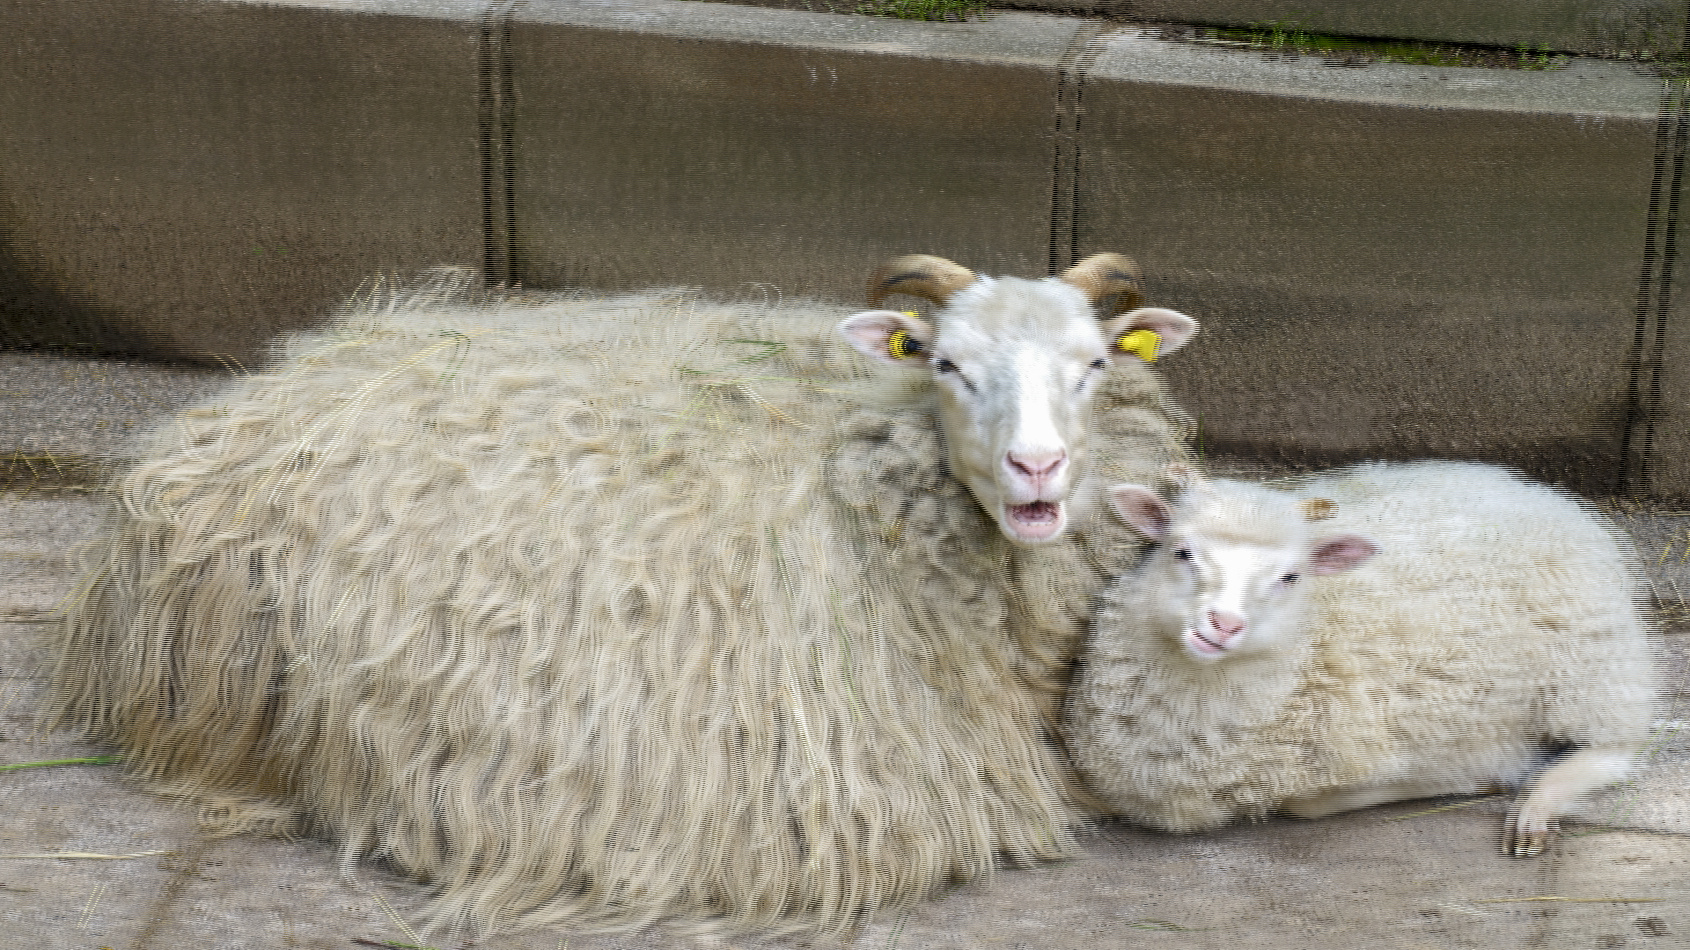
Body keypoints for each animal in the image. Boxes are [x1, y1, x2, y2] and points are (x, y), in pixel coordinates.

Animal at [1068, 459, 1662, 851]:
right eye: (1182, 551)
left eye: (1291, 577)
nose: (1224, 625)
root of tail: (1535, 489)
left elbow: (1307, 803)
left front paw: (1474, 777)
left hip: (1592, 666)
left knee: (1614, 746)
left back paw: (1538, 806)